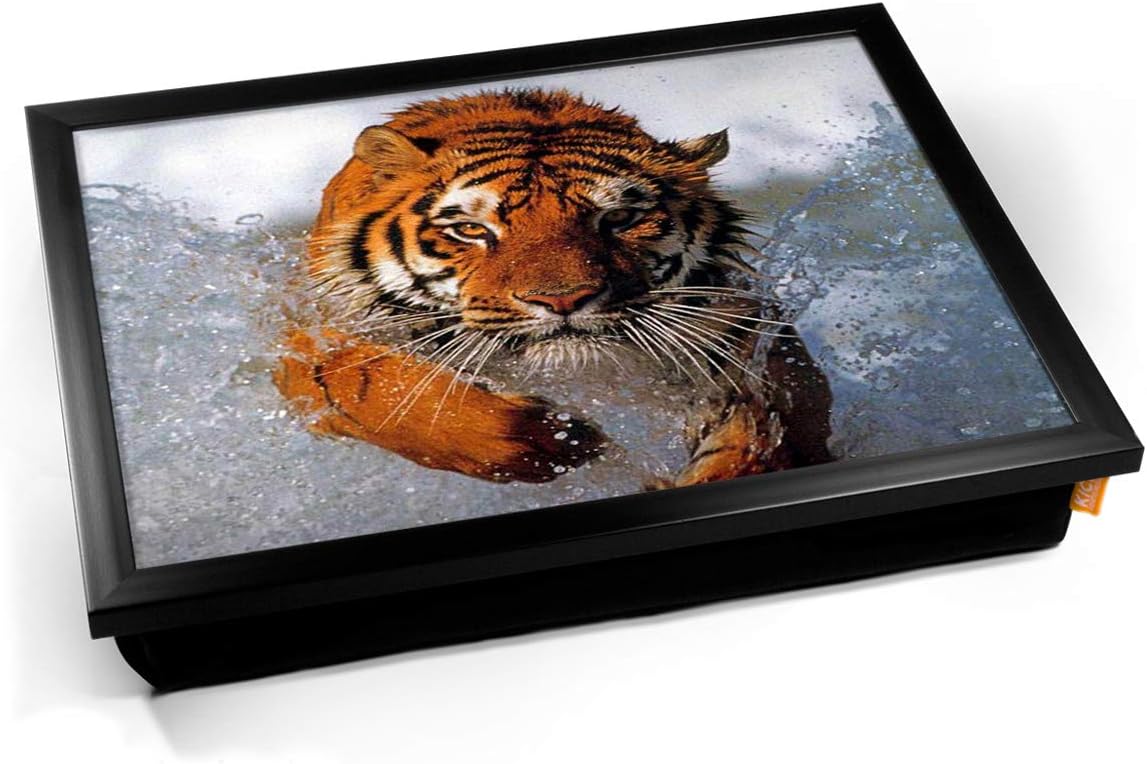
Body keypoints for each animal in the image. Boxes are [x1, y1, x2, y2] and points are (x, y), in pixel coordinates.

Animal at [273, 88, 832, 485]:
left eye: (620, 219)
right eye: (472, 229)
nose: (563, 298)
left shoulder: (746, 337)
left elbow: (766, 429)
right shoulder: (311, 337)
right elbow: (381, 389)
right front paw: (559, 441)